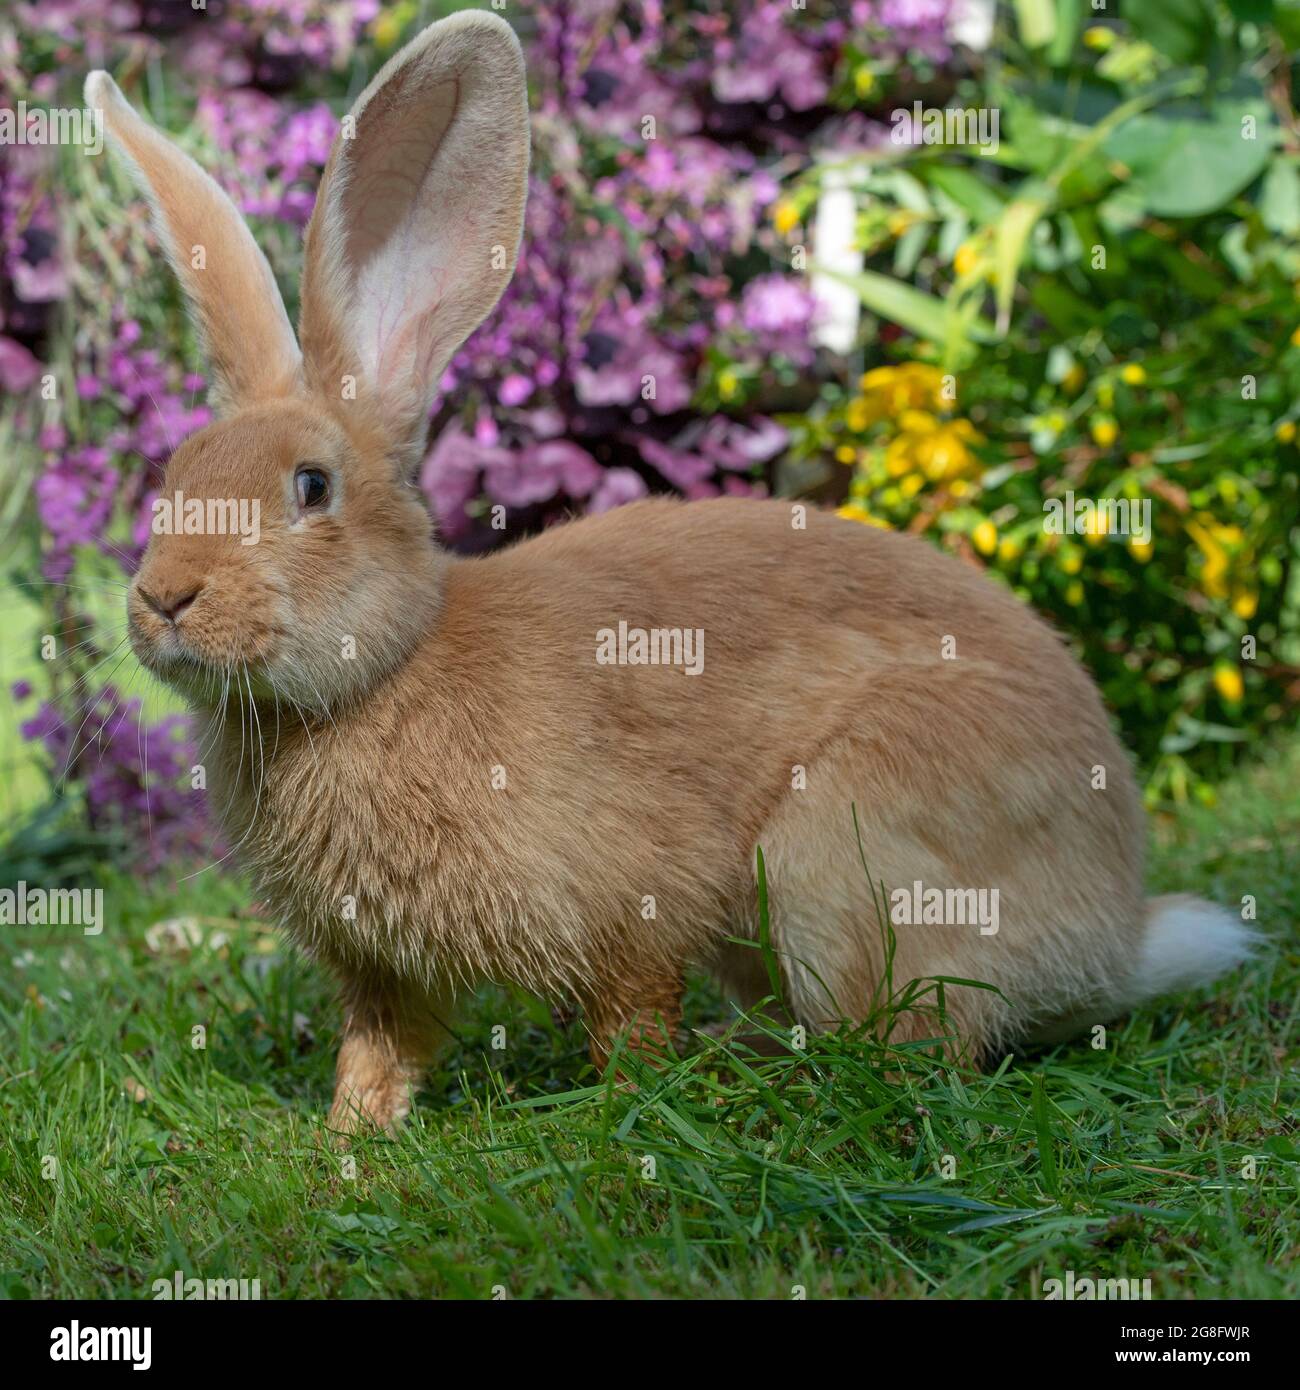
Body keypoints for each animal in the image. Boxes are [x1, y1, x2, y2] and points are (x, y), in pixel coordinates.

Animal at [86, 16, 1256, 1134]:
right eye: (175, 474)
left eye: (313, 486)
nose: (164, 597)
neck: (382, 674)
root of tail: (1112, 932)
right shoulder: (384, 976)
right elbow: (381, 1053)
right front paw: (349, 1146)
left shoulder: (636, 900)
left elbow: (632, 1019)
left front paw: (621, 1107)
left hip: (835, 855)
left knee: (911, 1046)